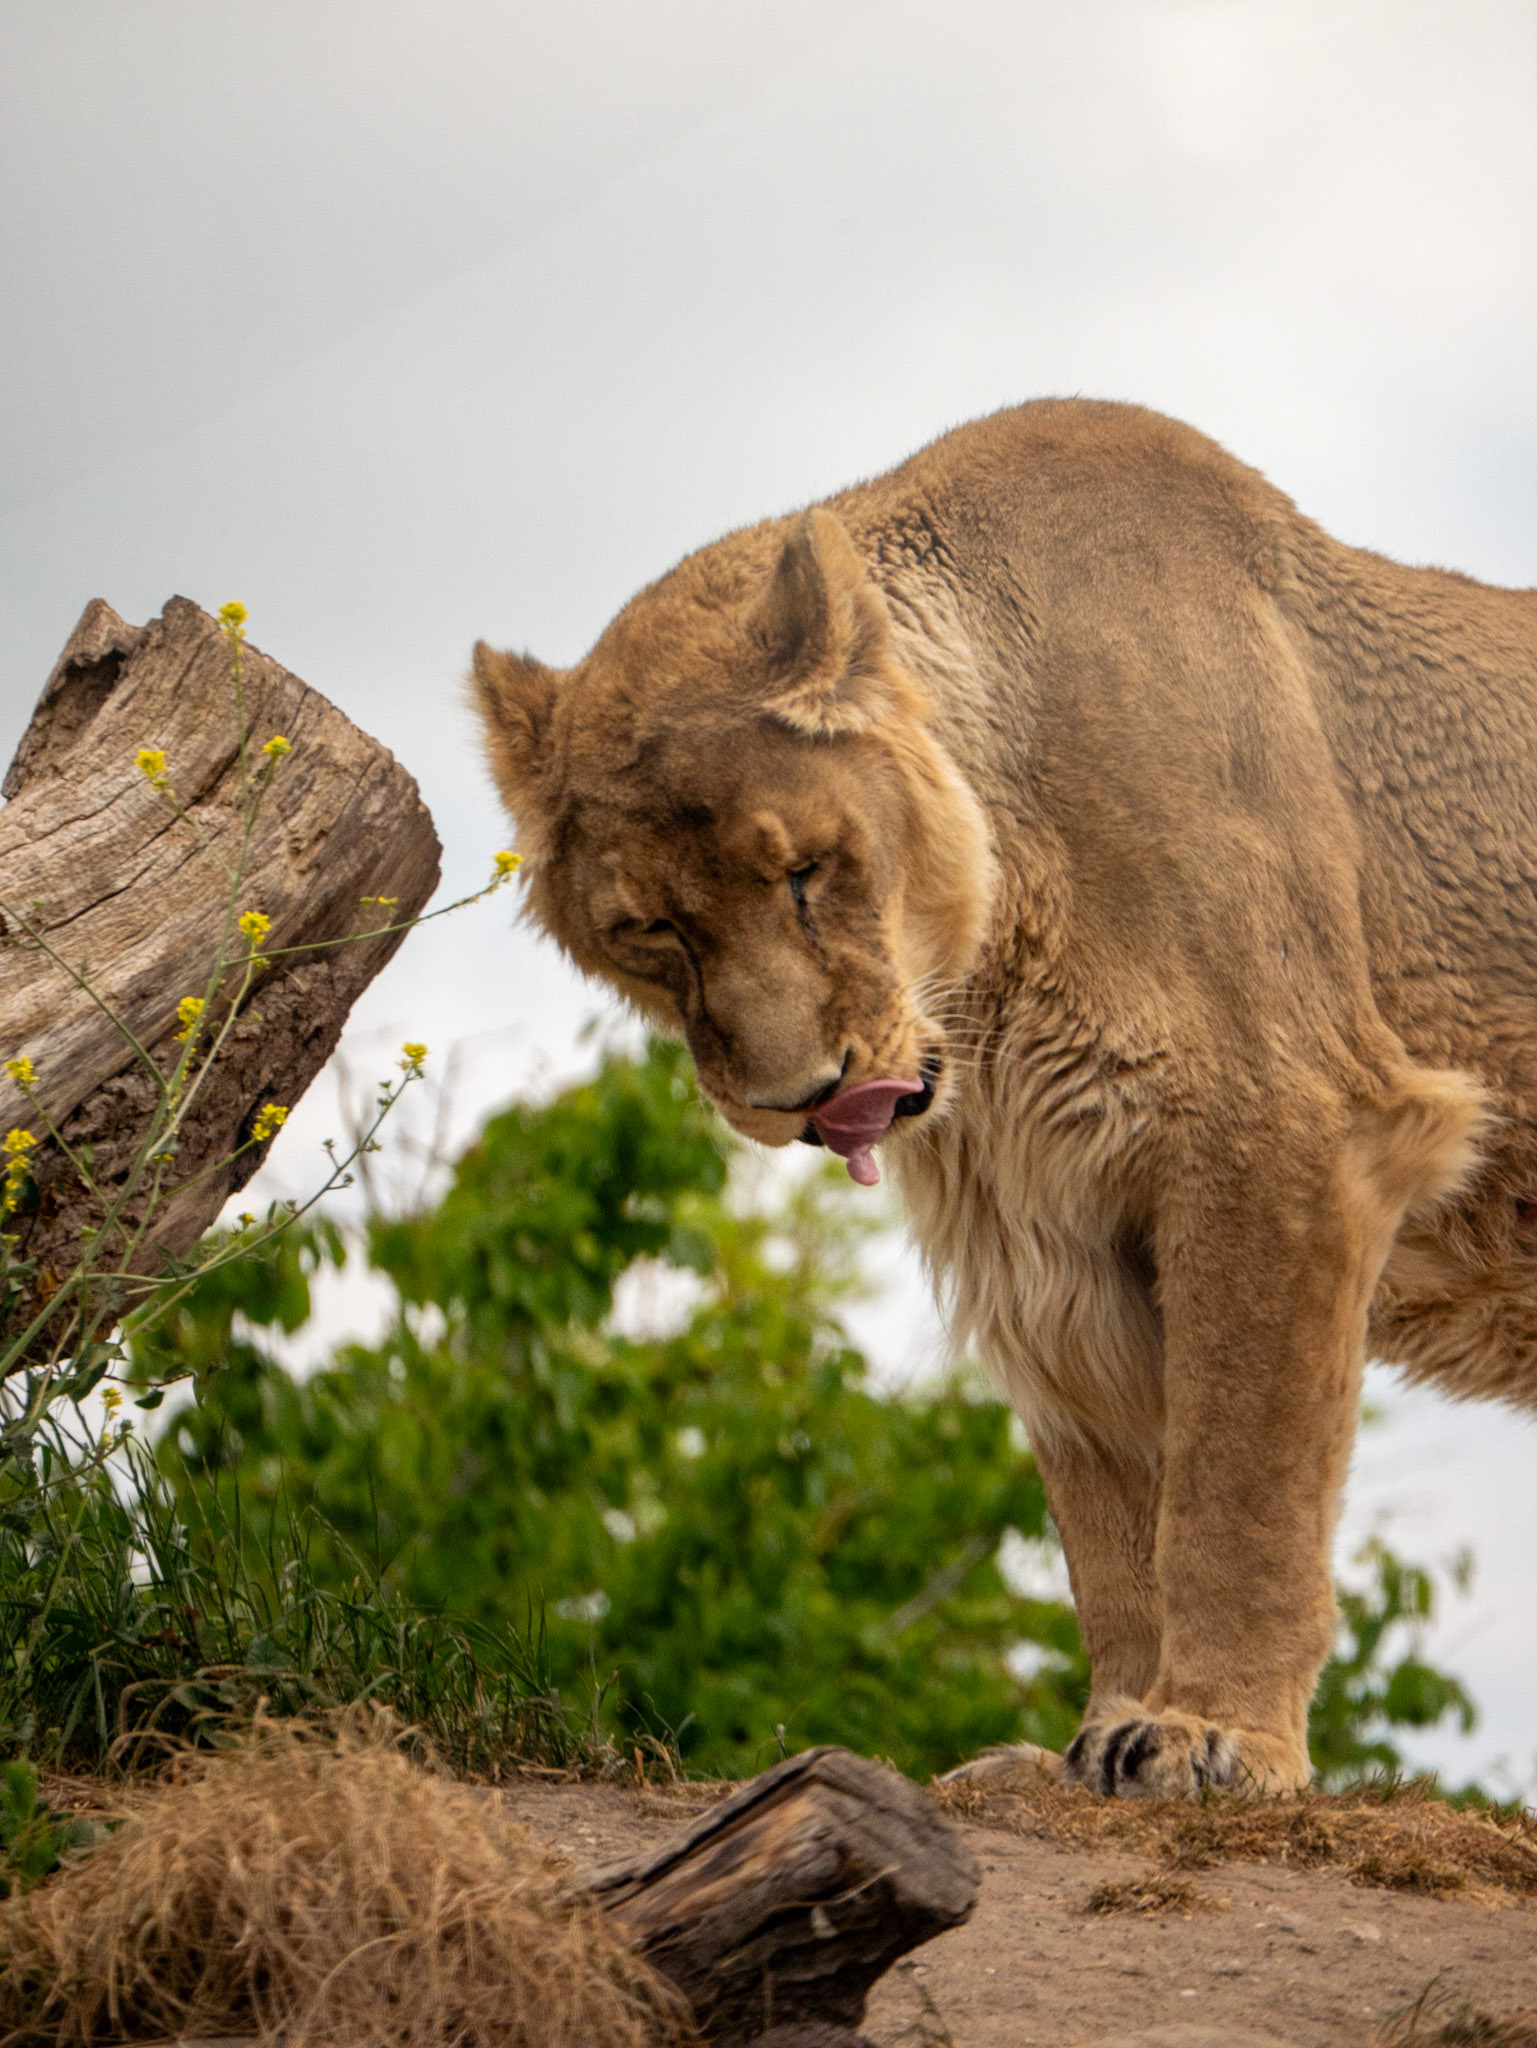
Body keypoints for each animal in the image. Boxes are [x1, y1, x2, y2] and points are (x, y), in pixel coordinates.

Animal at [470, 398, 1537, 1797]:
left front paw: (1217, 1735)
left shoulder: (1288, 1130)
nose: (799, 1095)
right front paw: (1099, 1732)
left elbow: (1236, 1482)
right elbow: (1115, 1522)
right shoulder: (1046, 1225)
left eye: (805, 870)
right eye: (652, 929)